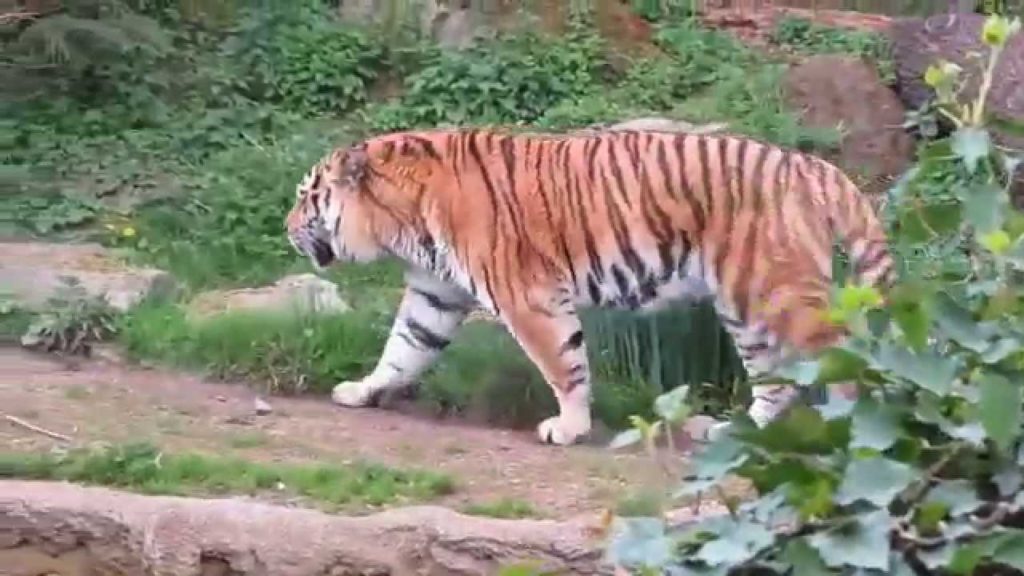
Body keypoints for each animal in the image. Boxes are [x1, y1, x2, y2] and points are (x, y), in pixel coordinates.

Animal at [285, 128, 895, 446]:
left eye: (306, 197)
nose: (287, 227)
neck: (402, 222)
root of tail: (815, 167)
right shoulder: (435, 293)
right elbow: (402, 349)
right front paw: (361, 392)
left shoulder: (528, 295)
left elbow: (564, 364)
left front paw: (570, 427)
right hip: (745, 303)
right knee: (776, 379)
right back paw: (730, 432)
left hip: (779, 293)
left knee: (844, 358)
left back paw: (855, 429)